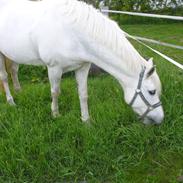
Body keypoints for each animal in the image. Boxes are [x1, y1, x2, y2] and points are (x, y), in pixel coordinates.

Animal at [0, 0, 164, 124]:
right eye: (152, 91)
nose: (160, 119)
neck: (71, 32)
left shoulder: (83, 67)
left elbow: (83, 94)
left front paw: (86, 121)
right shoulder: (54, 68)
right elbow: (55, 92)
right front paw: (55, 114)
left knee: (13, 71)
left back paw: (19, 92)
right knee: (4, 77)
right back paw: (11, 101)